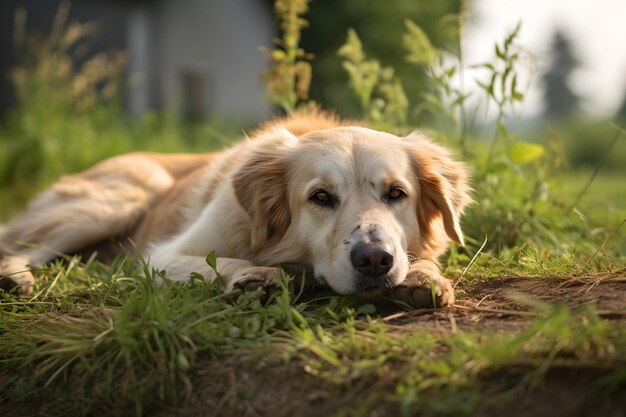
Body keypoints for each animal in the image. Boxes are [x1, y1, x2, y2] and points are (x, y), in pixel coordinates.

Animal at [0, 112, 468, 308]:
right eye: (320, 197)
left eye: (396, 193)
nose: (374, 260)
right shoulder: (162, 256)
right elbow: (225, 262)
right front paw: (255, 277)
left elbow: (423, 260)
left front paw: (424, 277)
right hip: (112, 204)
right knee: (17, 244)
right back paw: (14, 277)